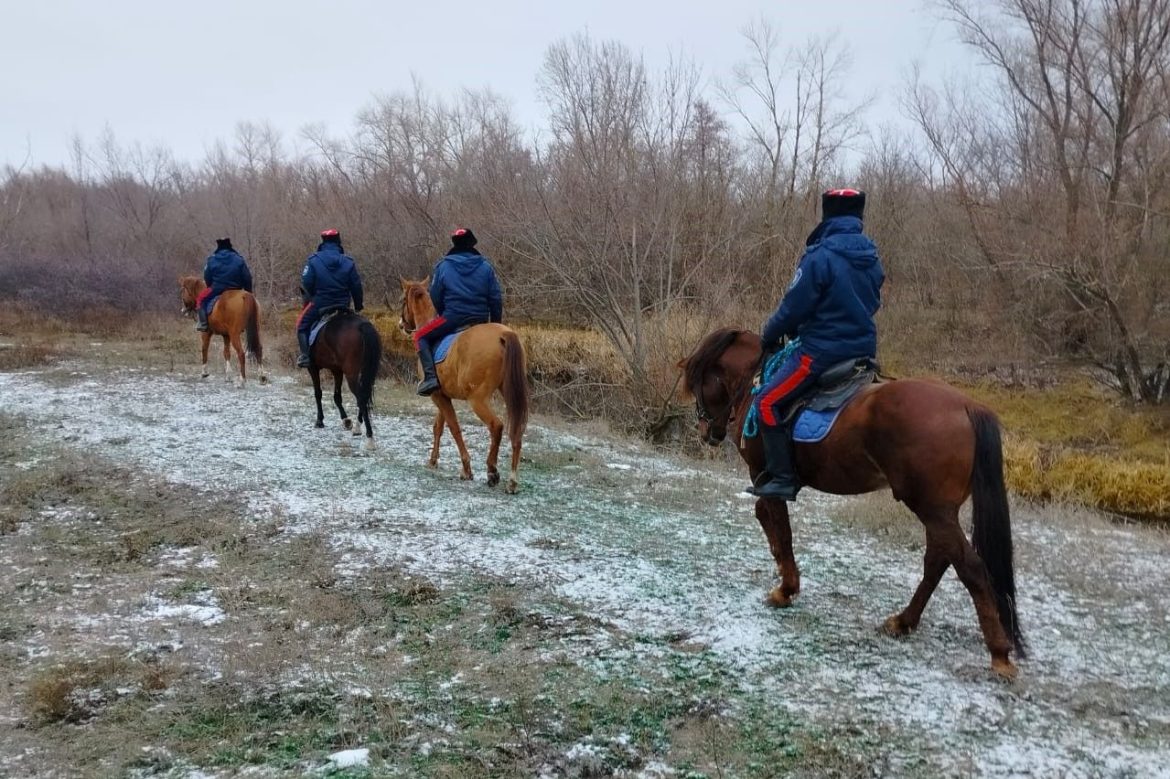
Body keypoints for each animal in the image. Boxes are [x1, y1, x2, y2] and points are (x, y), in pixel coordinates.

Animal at [304, 308, 381, 449]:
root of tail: (362, 325)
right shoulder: (337, 370)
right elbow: (337, 396)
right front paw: (346, 420)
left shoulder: (312, 368)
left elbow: (318, 393)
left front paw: (319, 421)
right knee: (365, 394)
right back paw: (357, 427)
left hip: (351, 374)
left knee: (361, 398)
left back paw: (369, 438)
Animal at [402, 277, 531, 491]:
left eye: (402, 300)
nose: (401, 325)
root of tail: (503, 335)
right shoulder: (442, 395)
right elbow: (439, 426)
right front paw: (433, 460)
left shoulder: (438, 396)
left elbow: (454, 428)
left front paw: (466, 469)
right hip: (509, 393)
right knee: (516, 431)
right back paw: (512, 481)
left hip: (477, 399)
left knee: (496, 426)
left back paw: (492, 471)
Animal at [678, 329, 1024, 678]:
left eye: (699, 383)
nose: (707, 432)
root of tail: (967, 405)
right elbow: (765, 516)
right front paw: (780, 569)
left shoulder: (764, 476)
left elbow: (780, 527)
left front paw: (785, 588)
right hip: (939, 512)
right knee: (938, 561)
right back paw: (903, 621)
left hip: (933, 511)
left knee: (970, 568)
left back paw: (999, 654)